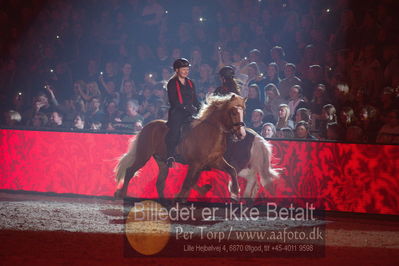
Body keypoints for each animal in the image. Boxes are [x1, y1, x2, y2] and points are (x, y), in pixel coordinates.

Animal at [114, 93, 248, 200]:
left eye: (243, 111)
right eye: (233, 112)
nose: (242, 134)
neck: (210, 132)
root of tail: (147, 126)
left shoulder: (214, 161)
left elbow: (232, 170)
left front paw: (235, 192)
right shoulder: (195, 163)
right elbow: (188, 182)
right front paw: (181, 197)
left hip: (162, 162)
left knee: (160, 183)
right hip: (143, 156)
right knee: (130, 171)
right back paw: (122, 194)